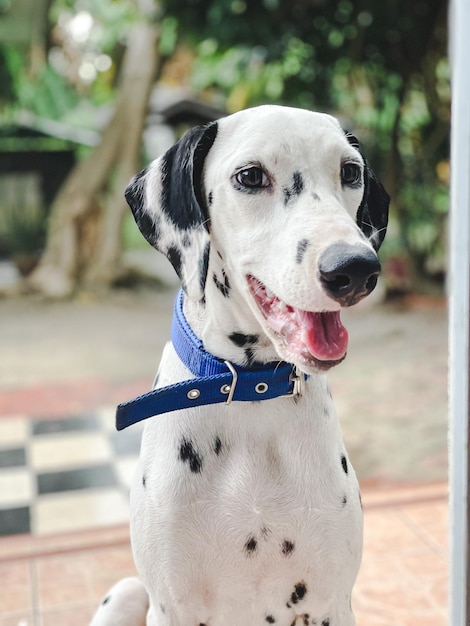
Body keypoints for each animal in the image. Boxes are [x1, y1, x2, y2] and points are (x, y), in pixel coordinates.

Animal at [91, 105, 390, 624]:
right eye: (250, 176)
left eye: (350, 172)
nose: (354, 268)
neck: (250, 391)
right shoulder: (171, 607)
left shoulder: (331, 604)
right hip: (126, 593)